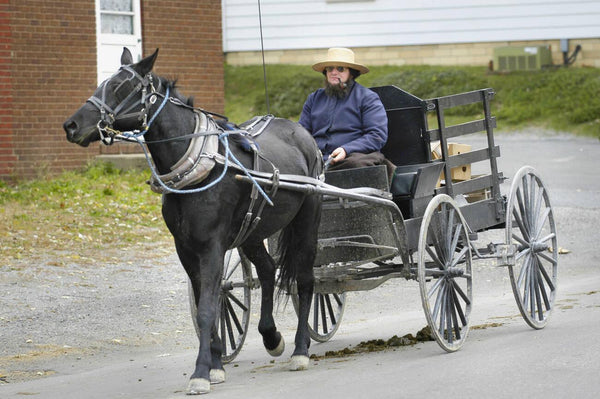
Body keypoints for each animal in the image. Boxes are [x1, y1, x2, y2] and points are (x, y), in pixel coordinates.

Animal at [63, 48, 322, 396]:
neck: (198, 163)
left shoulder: (211, 246)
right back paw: (271, 336)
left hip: (308, 218)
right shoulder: (185, 249)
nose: (72, 124)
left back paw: (300, 350)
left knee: (305, 280)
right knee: (268, 270)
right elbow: (206, 305)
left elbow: (207, 309)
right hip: (252, 230)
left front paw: (200, 373)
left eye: (120, 87)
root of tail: (300, 132)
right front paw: (215, 365)